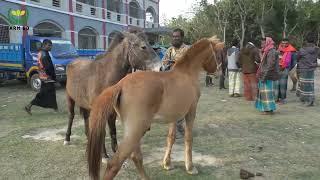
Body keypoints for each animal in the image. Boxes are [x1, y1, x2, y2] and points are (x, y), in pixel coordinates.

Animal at [64, 29, 161, 160]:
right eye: (143, 46)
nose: (160, 68)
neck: (105, 76)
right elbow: (102, 132)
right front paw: (104, 155)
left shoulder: (112, 111)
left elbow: (112, 131)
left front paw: (115, 152)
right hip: (70, 98)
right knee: (71, 116)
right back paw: (67, 139)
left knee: (85, 119)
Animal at [86, 35, 224, 179]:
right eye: (217, 54)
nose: (219, 72)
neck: (186, 74)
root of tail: (120, 85)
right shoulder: (191, 112)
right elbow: (188, 138)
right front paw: (190, 167)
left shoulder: (174, 116)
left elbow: (171, 138)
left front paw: (167, 164)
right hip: (136, 130)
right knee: (115, 163)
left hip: (133, 131)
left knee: (136, 156)